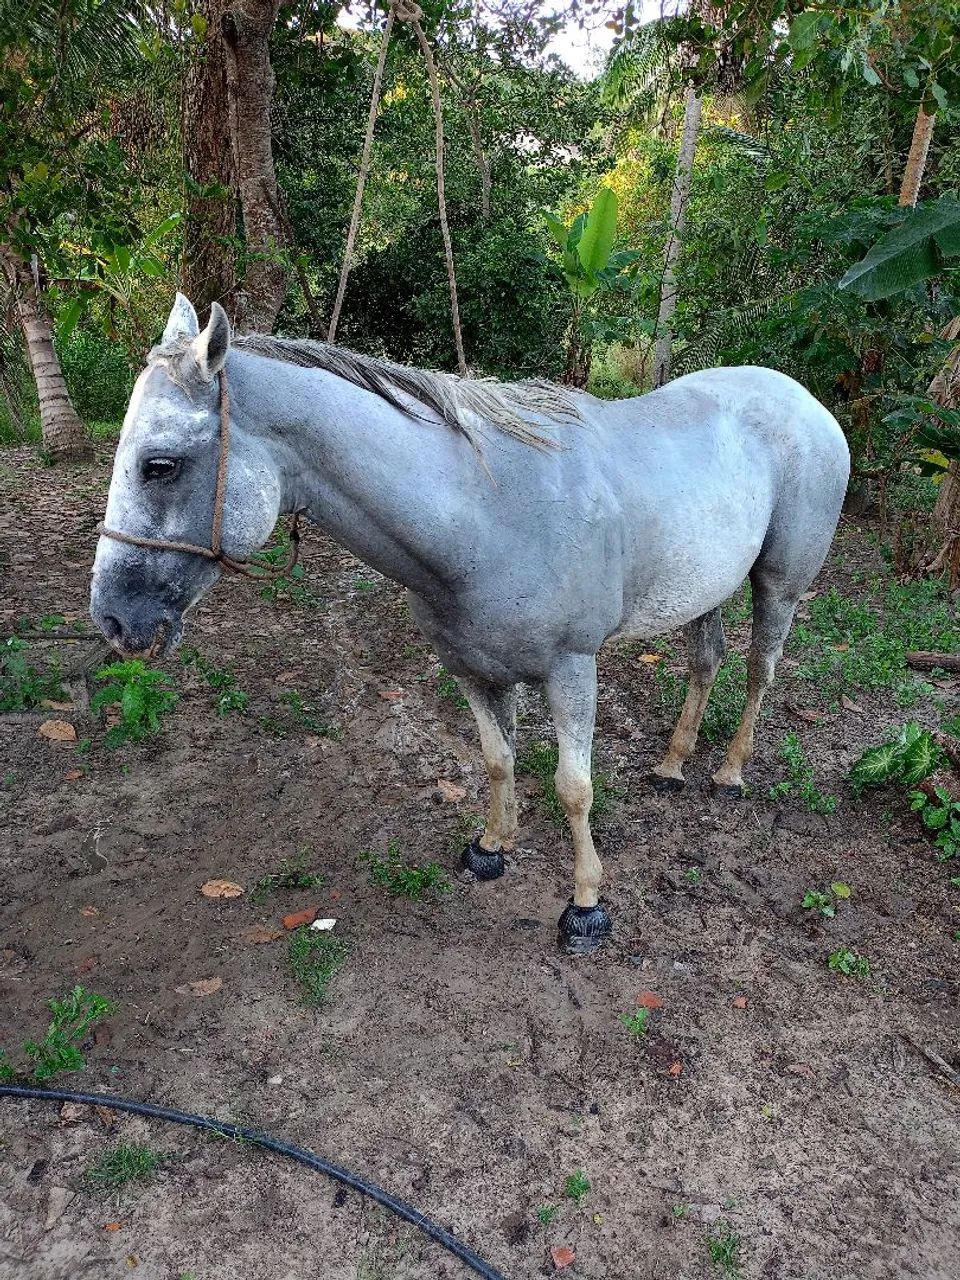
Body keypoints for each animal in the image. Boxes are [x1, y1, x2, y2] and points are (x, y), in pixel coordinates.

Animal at [90, 294, 850, 954]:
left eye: (160, 465)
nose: (113, 618)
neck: (486, 515)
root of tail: (805, 400)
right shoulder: (473, 669)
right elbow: (496, 759)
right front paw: (492, 847)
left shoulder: (572, 669)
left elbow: (574, 789)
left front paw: (586, 906)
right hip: (704, 588)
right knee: (706, 660)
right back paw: (671, 765)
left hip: (778, 586)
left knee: (758, 670)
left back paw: (728, 772)